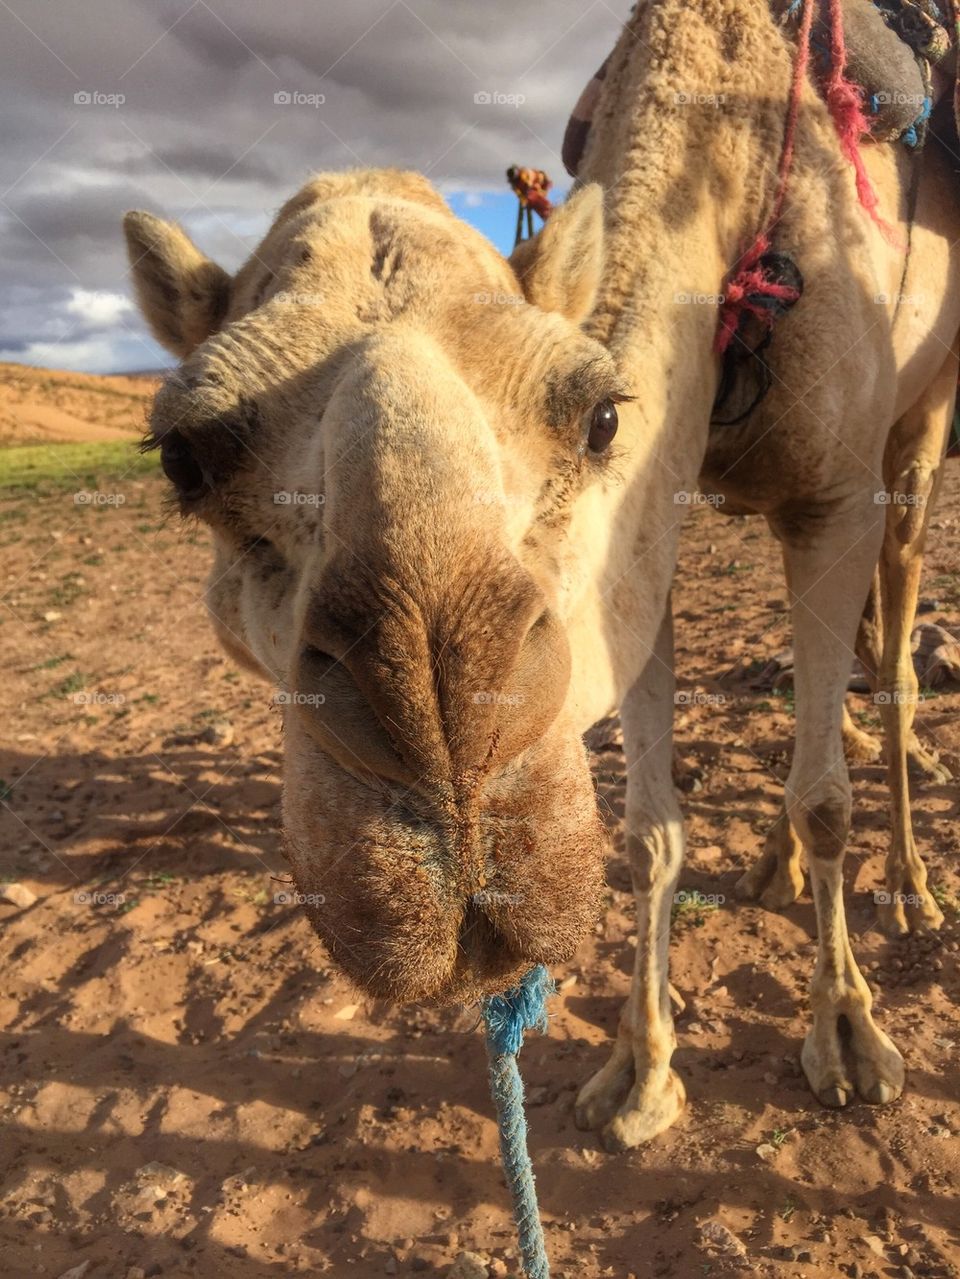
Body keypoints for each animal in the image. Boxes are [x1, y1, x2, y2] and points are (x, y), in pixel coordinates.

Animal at [123, 0, 956, 1161]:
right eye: (183, 458)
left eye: (599, 413)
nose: (451, 755)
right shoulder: (646, 542)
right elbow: (649, 832)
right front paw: (641, 1073)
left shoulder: (830, 494)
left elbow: (824, 796)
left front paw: (845, 1036)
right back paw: (771, 868)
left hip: (918, 428)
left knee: (893, 642)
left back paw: (912, 886)